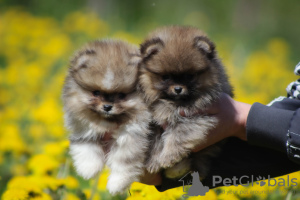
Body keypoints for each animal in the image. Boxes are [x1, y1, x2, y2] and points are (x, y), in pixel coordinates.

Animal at [62, 39, 151, 194]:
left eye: (121, 95)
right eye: (96, 93)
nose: (107, 106)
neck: (106, 122)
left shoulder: (131, 136)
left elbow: (124, 161)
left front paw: (117, 184)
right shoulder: (84, 128)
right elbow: (86, 147)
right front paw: (88, 169)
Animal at [139, 26, 233, 178]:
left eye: (189, 76)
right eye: (166, 77)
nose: (178, 89)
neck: (172, 103)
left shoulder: (194, 118)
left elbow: (177, 135)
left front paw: (168, 157)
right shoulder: (153, 123)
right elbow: (155, 142)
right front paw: (153, 162)